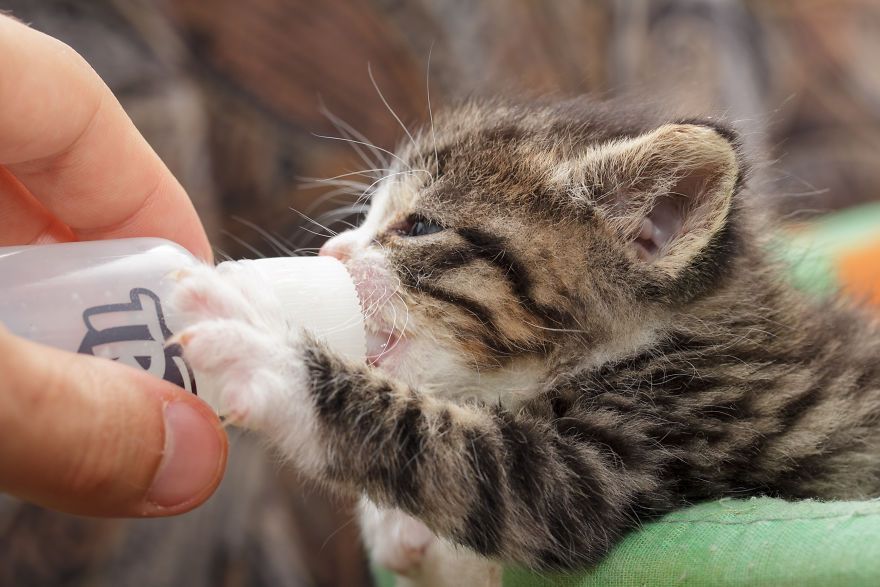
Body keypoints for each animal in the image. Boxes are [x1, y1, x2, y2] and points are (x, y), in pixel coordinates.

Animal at [168, 97, 880, 584]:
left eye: (419, 226)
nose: (330, 251)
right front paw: (400, 532)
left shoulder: (661, 429)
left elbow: (461, 458)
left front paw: (255, 340)